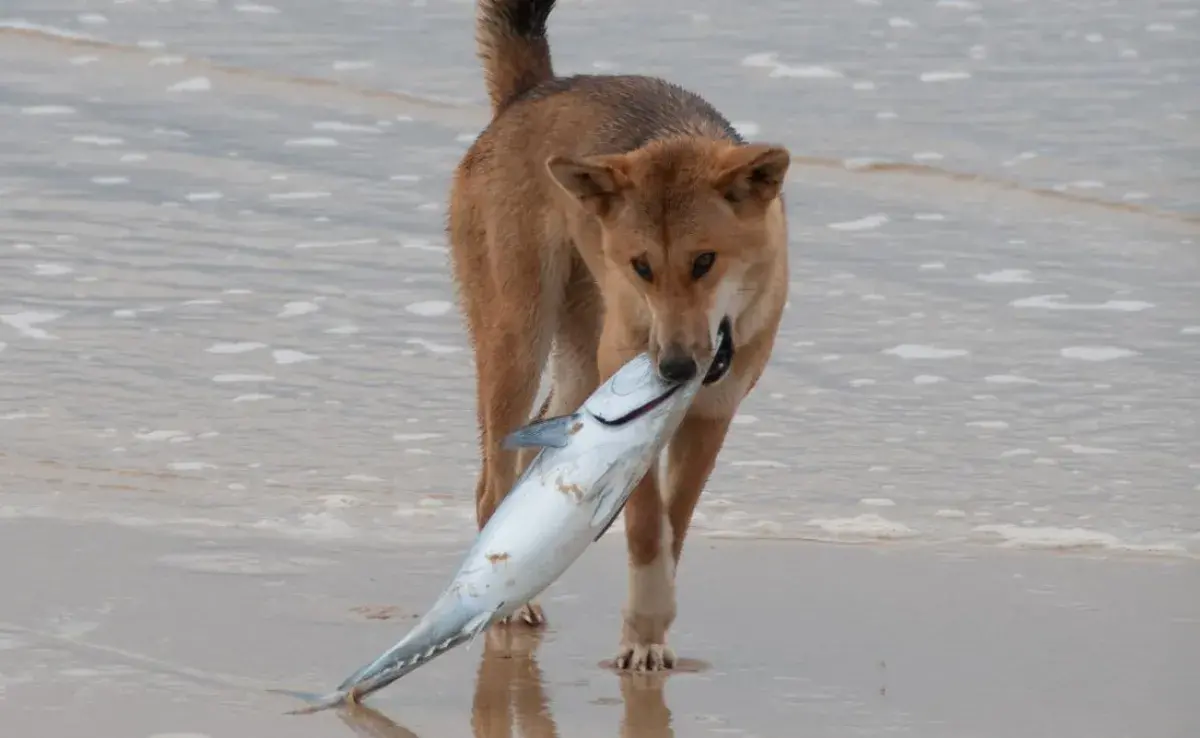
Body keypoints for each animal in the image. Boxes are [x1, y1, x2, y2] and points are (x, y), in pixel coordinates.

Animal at [446, 0, 792, 672]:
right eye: (641, 267)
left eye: (705, 261)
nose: (674, 369)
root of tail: (530, 93)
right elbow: (647, 526)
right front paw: (645, 630)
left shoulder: (712, 415)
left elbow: (674, 525)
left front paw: (650, 628)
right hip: (519, 338)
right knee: (490, 485)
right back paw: (510, 604)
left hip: (580, 362)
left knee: (535, 446)